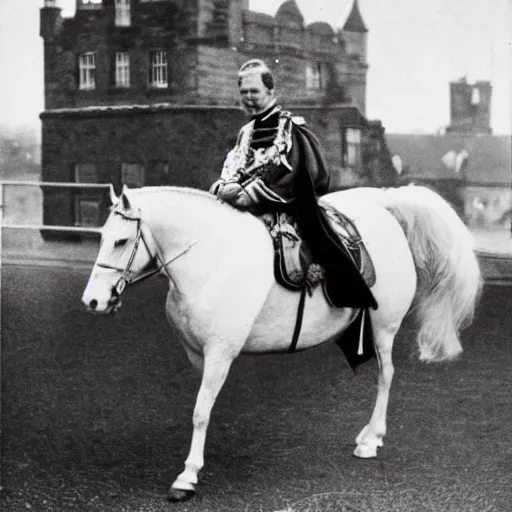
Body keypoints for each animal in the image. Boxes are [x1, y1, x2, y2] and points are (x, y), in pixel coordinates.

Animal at [82, 184, 482, 500]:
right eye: (102, 237)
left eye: (121, 241)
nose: (93, 301)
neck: (211, 255)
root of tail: (383, 206)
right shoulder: (199, 356)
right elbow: (202, 409)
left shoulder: (219, 353)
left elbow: (200, 411)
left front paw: (188, 475)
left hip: (383, 327)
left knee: (386, 376)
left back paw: (371, 439)